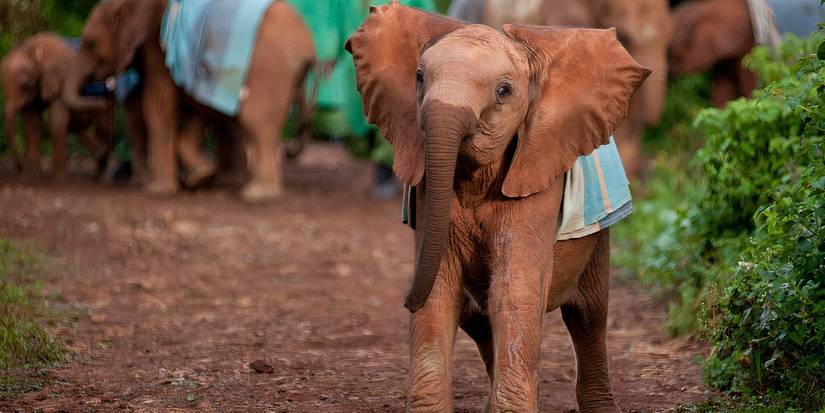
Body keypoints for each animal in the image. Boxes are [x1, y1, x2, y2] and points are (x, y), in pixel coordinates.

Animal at [1, 32, 114, 179]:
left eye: (25, 85)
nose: (20, 167)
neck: (30, 49)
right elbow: (32, 124)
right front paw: (33, 177)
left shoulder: (61, 79)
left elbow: (56, 121)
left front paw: (59, 180)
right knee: (78, 127)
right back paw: (100, 154)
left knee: (101, 125)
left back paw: (102, 176)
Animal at [62, 0, 316, 202]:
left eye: (91, 43)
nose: (105, 92)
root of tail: (308, 45)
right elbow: (192, 113)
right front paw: (200, 177)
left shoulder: (158, 49)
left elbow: (158, 107)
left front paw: (158, 191)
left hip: (270, 70)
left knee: (255, 122)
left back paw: (256, 195)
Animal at [347, 3, 649, 412]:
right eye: (419, 78)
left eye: (504, 91)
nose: (405, 300)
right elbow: (440, 290)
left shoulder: (536, 173)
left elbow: (514, 289)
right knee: (480, 319)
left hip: (598, 238)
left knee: (588, 315)